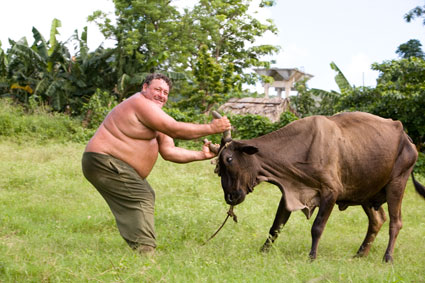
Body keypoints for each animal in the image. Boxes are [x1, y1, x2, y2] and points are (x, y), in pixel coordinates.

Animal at [210, 111, 424, 264]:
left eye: (229, 159)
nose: (230, 197)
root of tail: (407, 138)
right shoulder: (289, 194)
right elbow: (276, 226)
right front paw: (263, 251)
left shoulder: (331, 192)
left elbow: (317, 227)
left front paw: (312, 256)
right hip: (365, 193)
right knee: (377, 220)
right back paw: (360, 255)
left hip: (397, 183)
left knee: (395, 222)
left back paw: (388, 258)